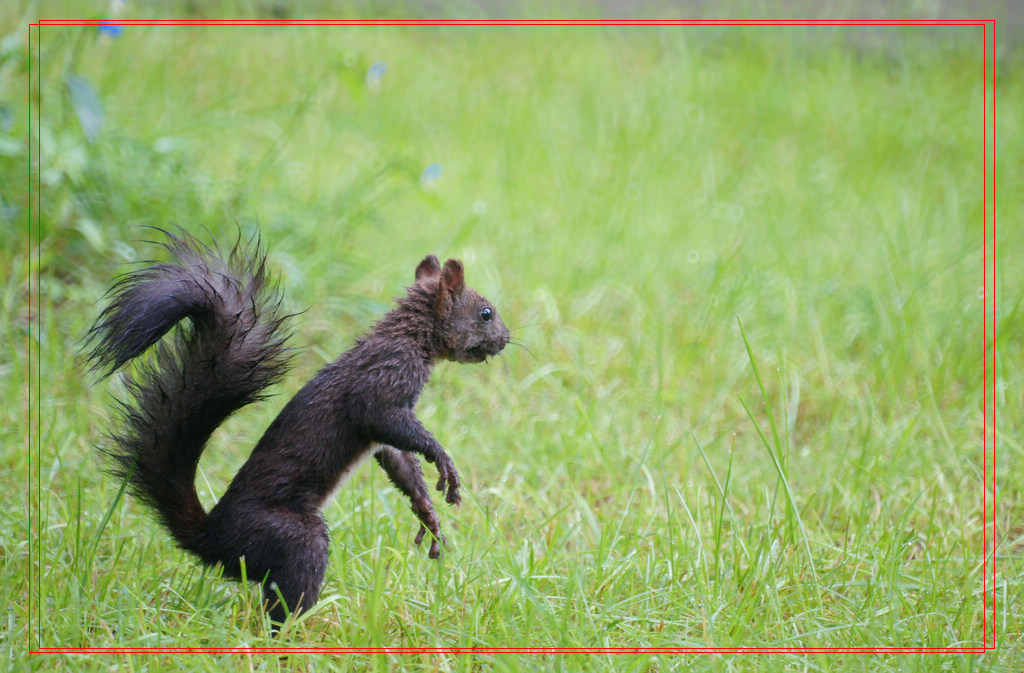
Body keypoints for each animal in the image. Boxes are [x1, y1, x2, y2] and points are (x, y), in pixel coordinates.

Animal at [86, 228, 509, 626]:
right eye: (486, 313)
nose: (506, 340)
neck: (408, 336)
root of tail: (210, 539)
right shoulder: (383, 380)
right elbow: (380, 418)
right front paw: (443, 461)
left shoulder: (384, 434)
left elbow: (397, 457)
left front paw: (427, 513)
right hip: (294, 538)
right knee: (286, 600)